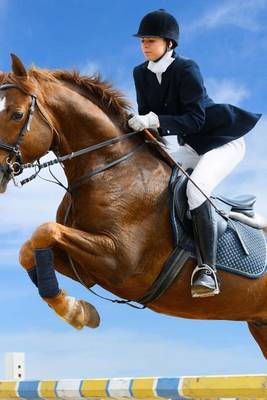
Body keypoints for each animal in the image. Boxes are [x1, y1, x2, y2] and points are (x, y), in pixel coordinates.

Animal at [0, 54, 267, 360]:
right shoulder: (87, 269)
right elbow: (29, 249)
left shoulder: (119, 261)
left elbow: (45, 231)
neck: (109, 168)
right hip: (260, 324)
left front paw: (74, 312)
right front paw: (78, 311)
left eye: (17, 114)